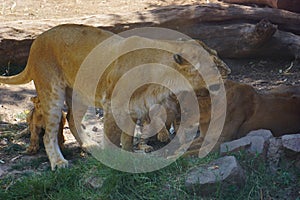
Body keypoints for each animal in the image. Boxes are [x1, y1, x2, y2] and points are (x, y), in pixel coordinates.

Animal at [0, 24, 230, 170]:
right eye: (214, 65)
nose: (228, 71)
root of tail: (36, 41)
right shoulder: (112, 105)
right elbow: (112, 138)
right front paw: (113, 162)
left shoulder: (134, 108)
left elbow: (127, 139)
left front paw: (130, 159)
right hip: (52, 92)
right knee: (49, 133)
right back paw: (58, 162)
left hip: (79, 94)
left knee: (72, 119)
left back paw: (90, 146)